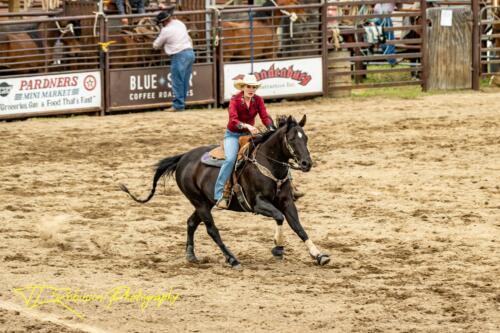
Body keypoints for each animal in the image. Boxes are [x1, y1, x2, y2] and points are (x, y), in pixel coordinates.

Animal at [119, 115, 330, 268]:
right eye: (292, 139)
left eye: (306, 138)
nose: (307, 163)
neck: (268, 164)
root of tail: (183, 158)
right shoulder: (258, 204)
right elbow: (279, 217)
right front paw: (278, 247)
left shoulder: (287, 202)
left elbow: (298, 227)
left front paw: (318, 254)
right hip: (200, 203)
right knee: (212, 230)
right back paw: (232, 259)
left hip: (205, 202)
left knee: (191, 223)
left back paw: (191, 255)